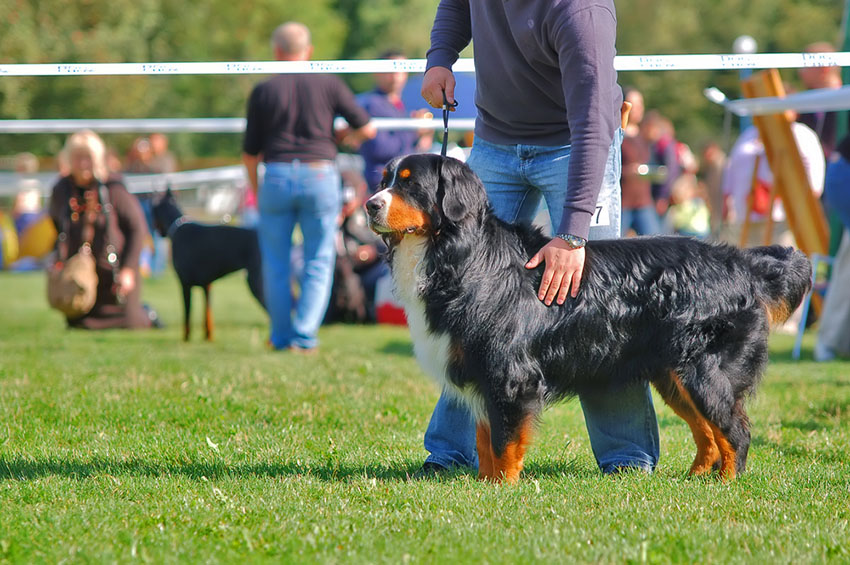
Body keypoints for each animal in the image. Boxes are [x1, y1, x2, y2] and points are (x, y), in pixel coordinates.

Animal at [152, 188, 264, 340]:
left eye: (152, 211)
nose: (156, 230)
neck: (178, 226)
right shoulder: (208, 286)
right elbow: (207, 316)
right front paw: (208, 337)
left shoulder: (185, 284)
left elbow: (187, 316)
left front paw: (186, 339)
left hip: (256, 283)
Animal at [362, 152, 808, 482]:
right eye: (386, 178)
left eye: (409, 183)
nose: (369, 205)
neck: (465, 256)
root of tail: (742, 261)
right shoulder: (483, 372)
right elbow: (486, 438)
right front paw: (485, 485)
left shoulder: (508, 373)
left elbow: (504, 441)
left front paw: (502, 488)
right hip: (674, 375)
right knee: (708, 433)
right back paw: (697, 479)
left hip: (705, 371)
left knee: (735, 431)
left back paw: (726, 482)